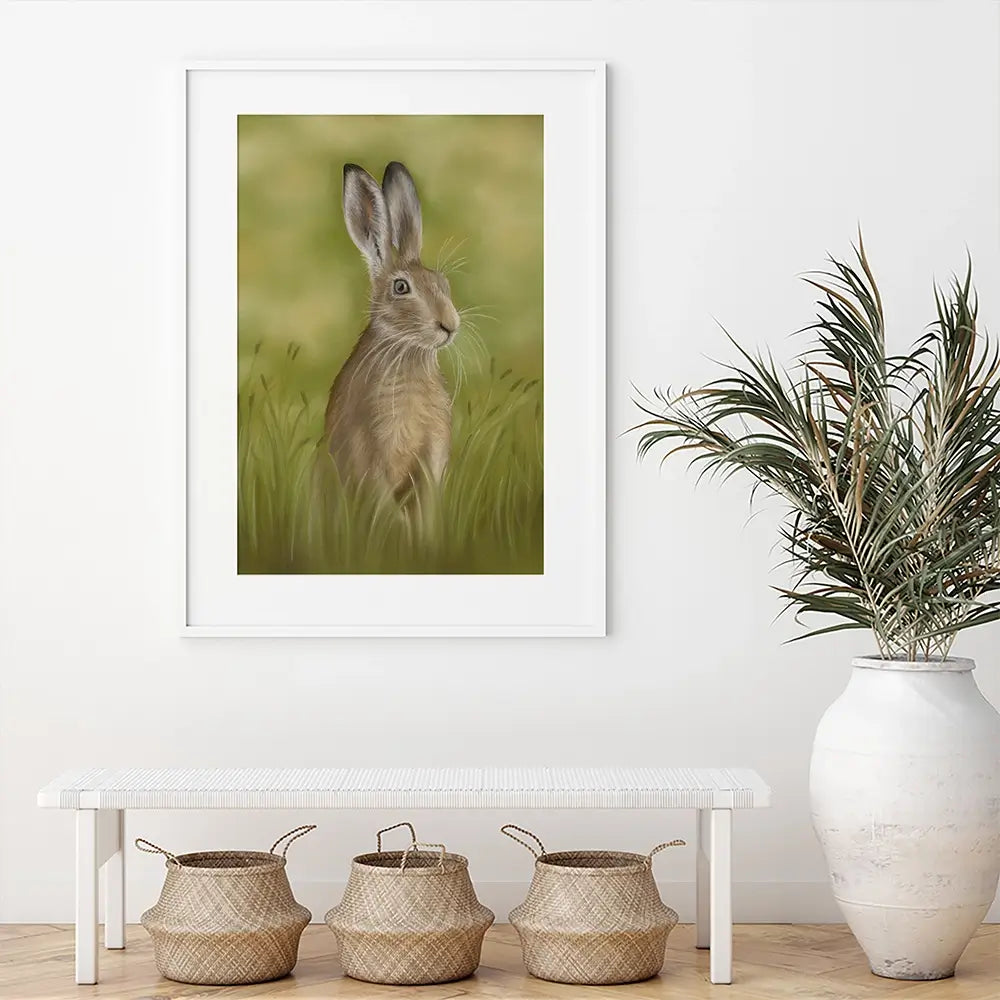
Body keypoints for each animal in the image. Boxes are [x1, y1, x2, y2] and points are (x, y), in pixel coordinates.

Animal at [322, 161, 461, 505]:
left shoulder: (431, 459)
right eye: (400, 288)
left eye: (442, 283)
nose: (450, 325)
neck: (408, 353)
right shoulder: (372, 457)